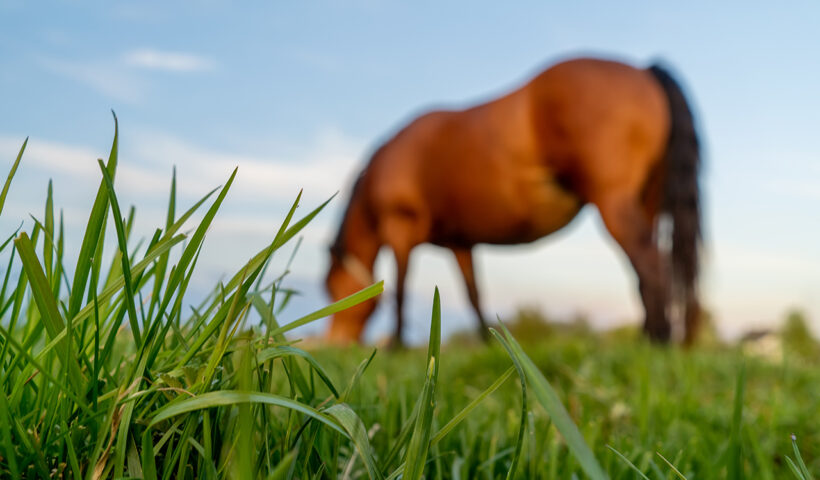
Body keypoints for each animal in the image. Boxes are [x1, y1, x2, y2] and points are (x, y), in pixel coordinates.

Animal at [324, 57, 700, 344]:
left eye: (331, 292)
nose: (336, 342)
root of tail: (644, 69)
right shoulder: (460, 242)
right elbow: (473, 294)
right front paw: (486, 342)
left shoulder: (401, 229)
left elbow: (401, 289)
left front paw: (397, 346)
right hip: (648, 203)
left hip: (614, 203)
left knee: (651, 265)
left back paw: (657, 341)